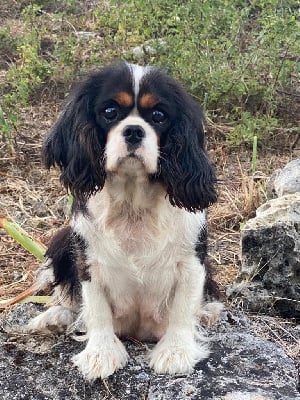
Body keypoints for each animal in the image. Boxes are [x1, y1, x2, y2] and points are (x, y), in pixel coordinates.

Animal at [28, 62, 221, 382]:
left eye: (158, 116)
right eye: (110, 111)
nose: (133, 131)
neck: (133, 203)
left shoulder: (191, 259)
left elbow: (183, 307)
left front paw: (176, 350)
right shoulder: (88, 259)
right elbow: (95, 308)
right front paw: (100, 352)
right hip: (62, 240)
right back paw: (54, 317)